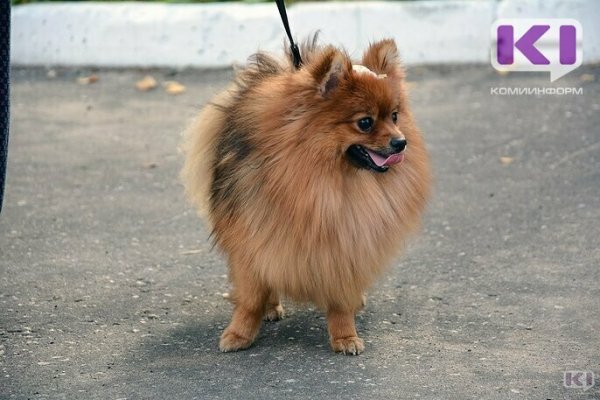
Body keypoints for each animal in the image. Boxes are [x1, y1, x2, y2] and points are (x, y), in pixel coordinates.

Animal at [180, 37, 428, 354]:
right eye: (365, 122)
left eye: (395, 116)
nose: (401, 142)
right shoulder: (251, 238)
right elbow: (250, 297)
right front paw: (239, 333)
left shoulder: (344, 244)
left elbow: (340, 300)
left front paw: (345, 335)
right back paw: (271, 307)